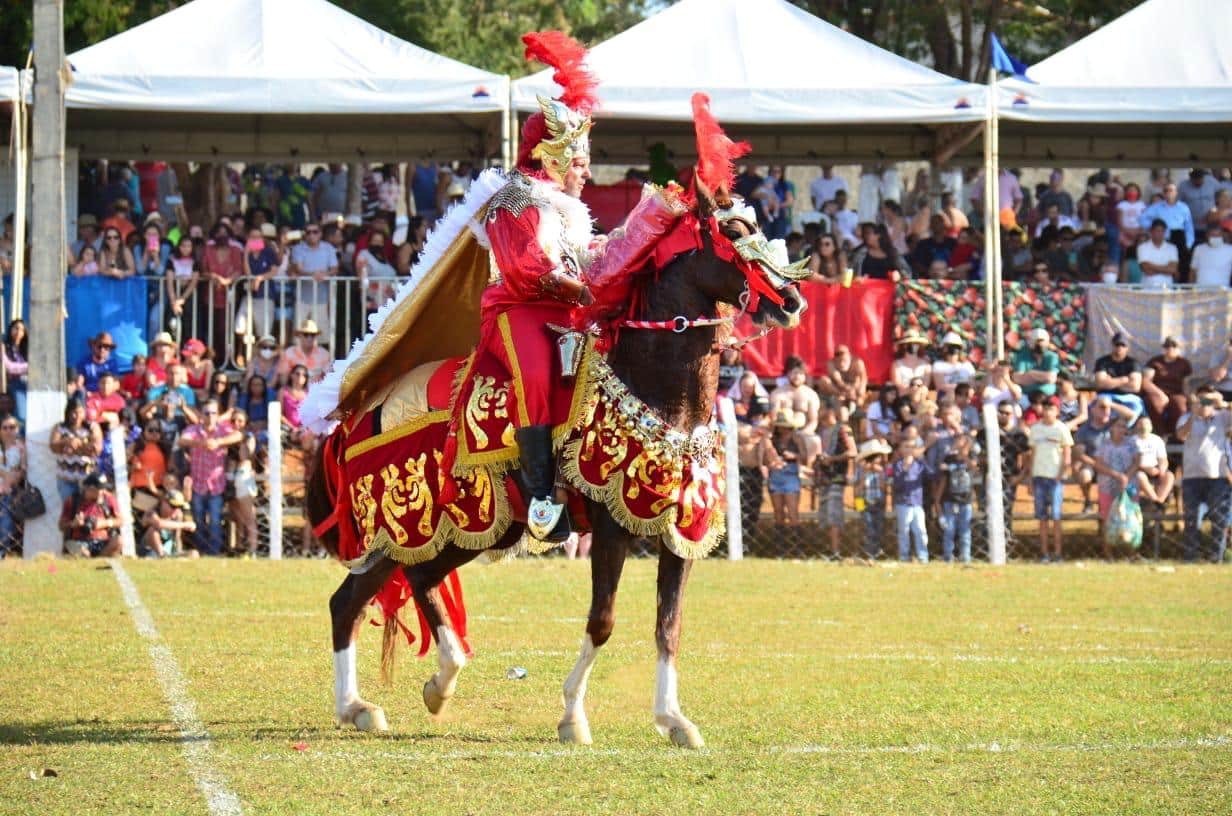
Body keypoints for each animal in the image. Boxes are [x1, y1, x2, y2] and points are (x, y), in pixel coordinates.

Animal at [305, 189, 808, 749]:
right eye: (734, 234)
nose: (791, 301)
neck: (660, 394)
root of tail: (362, 411)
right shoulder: (611, 528)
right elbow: (603, 620)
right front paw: (572, 716)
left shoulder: (681, 532)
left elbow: (669, 627)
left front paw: (674, 719)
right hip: (402, 525)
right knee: (354, 598)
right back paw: (372, 701)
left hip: (472, 529)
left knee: (407, 583)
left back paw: (419, 689)